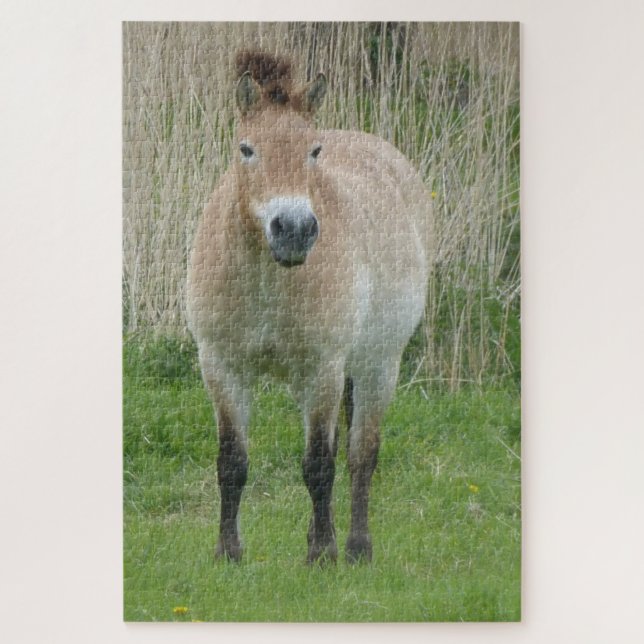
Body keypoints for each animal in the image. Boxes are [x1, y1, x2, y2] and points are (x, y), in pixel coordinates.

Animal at [187, 51, 433, 564]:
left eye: (314, 151)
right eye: (247, 149)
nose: (295, 230)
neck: (267, 279)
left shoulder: (323, 369)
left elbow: (320, 464)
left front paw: (321, 555)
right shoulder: (221, 366)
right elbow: (232, 462)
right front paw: (228, 553)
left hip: (377, 365)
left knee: (361, 455)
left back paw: (357, 548)